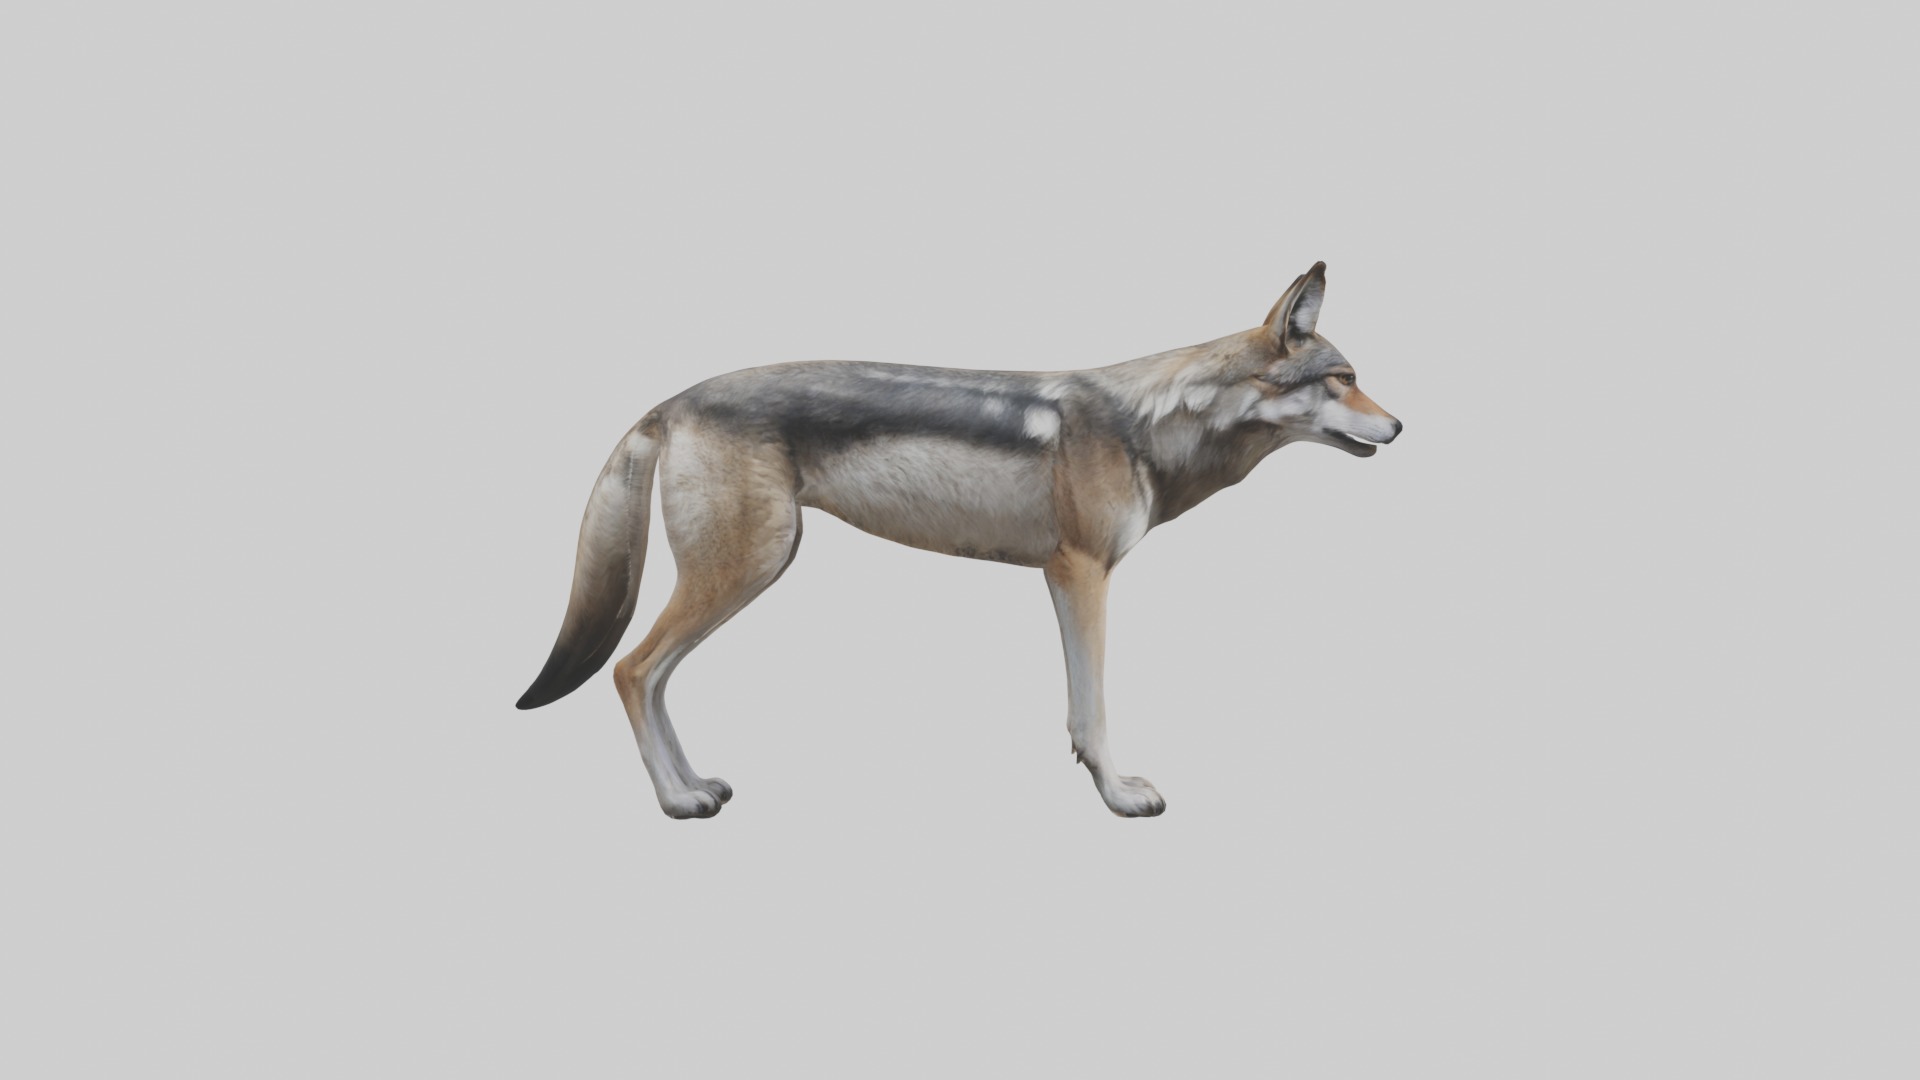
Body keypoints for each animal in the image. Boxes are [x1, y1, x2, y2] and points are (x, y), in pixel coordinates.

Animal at [517, 262, 1401, 818]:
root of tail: (670, 401)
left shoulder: (1064, 578)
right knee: (631, 670)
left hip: (747, 574)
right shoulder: (1081, 575)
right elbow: (1094, 709)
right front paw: (1118, 796)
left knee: (653, 679)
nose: (1399, 427)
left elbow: (1080, 711)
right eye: (1345, 379)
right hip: (745, 571)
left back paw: (695, 783)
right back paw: (676, 801)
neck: (1150, 424)